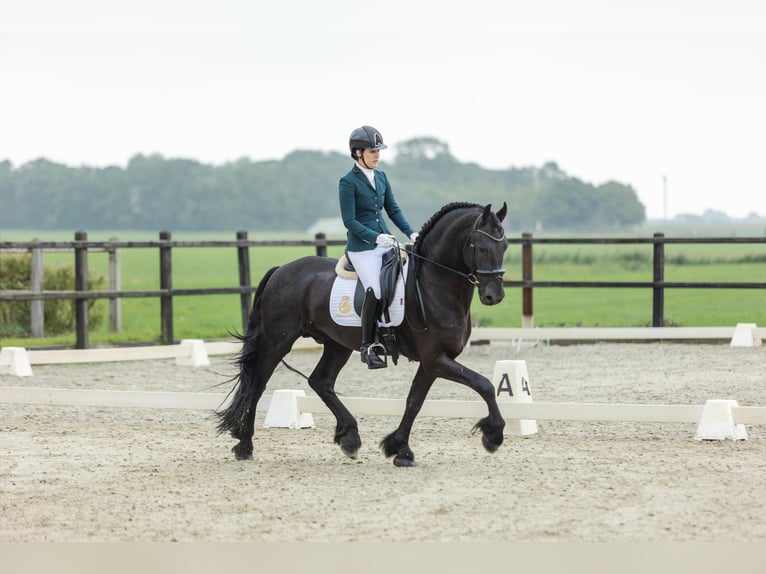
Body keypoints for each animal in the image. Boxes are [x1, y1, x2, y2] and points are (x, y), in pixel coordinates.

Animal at [218, 202, 510, 468]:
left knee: (320, 382)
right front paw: (493, 435)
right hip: (277, 341)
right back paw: (244, 444)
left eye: (505, 246)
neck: (432, 283)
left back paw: (349, 437)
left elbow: (414, 401)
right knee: (258, 384)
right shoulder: (435, 359)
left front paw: (399, 449)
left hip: (336, 344)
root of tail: (280, 270)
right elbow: (484, 384)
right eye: (482, 247)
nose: (494, 296)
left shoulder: (434, 361)